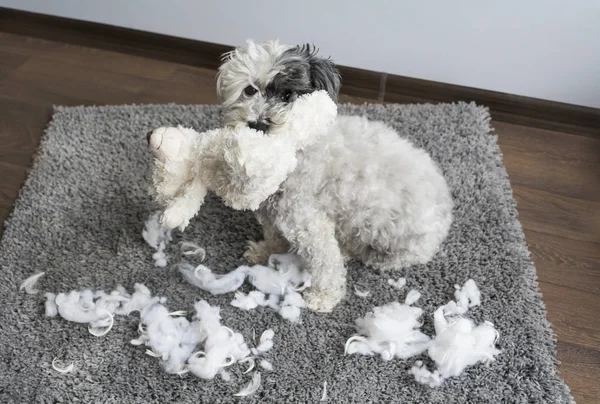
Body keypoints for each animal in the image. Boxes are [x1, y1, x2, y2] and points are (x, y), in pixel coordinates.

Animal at [217, 41, 454, 312]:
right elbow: (274, 236)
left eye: (288, 95)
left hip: (395, 241)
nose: (257, 124)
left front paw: (323, 297)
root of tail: (446, 209)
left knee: (386, 257)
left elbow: (326, 264)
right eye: (249, 90)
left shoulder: (309, 223)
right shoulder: (275, 212)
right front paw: (263, 252)